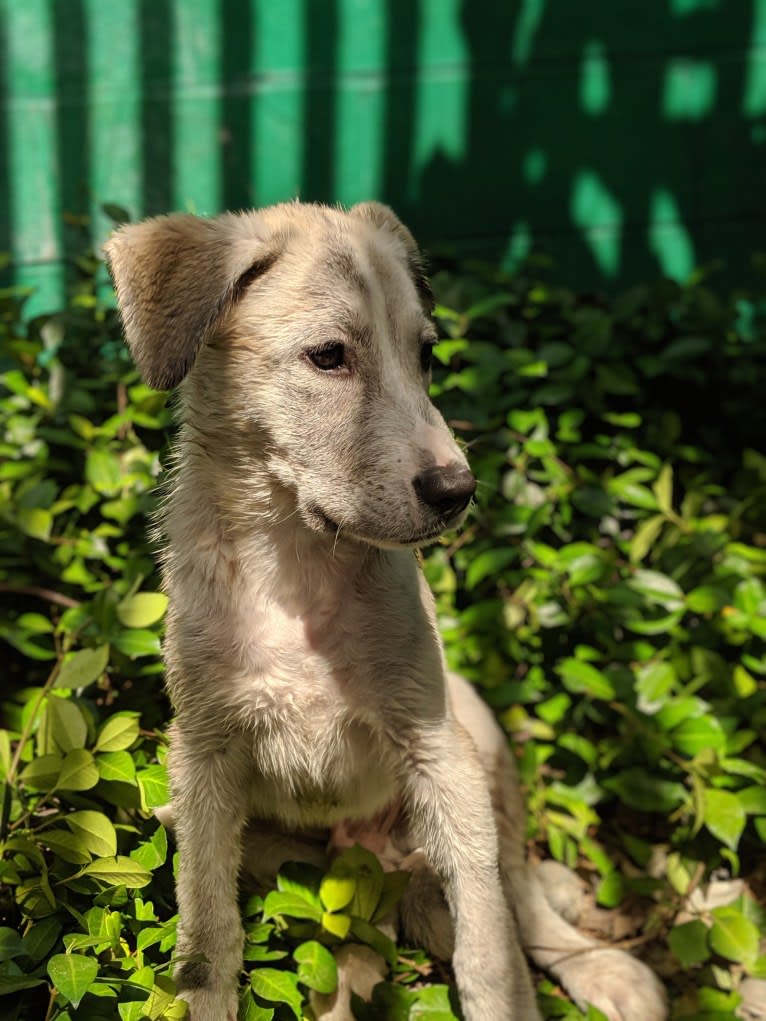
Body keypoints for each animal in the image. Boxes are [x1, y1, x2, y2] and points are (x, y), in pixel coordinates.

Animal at [106, 201, 665, 1021]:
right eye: (329, 357)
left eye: (426, 355)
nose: (458, 491)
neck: (295, 563)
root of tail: (383, 858)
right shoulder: (202, 756)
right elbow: (208, 937)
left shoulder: (436, 747)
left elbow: (490, 947)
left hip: (477, 734)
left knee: (517, 896)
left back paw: (603, 967)